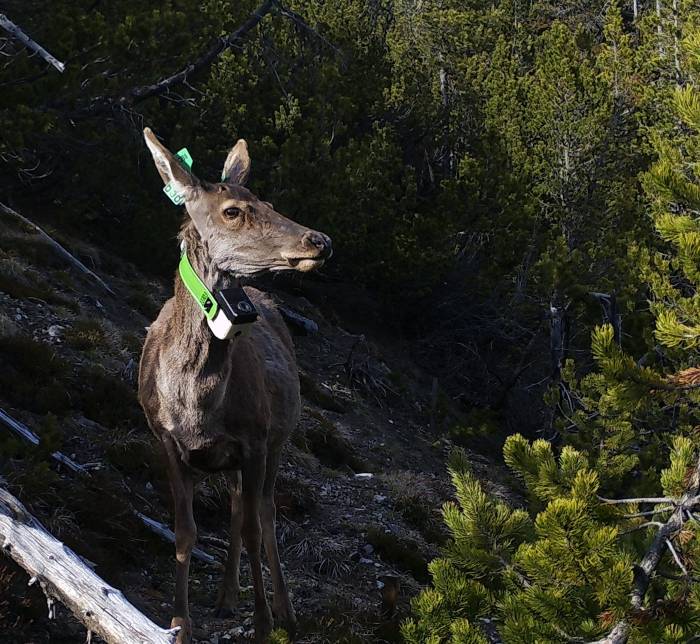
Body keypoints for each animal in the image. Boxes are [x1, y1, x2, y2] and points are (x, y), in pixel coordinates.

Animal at [138, 127, 332, 644]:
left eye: (266, 201)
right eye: (232, 211)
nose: (320, 240)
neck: (195, 405)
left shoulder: (256, 438)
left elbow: (253, 529)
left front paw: (264, 623)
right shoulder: (166, 441)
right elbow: (185, 531)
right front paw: (180, 620)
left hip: (279, 438)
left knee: (261, 511)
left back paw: (283, 609)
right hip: (230, 460)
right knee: (234, 505)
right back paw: (226, 595)